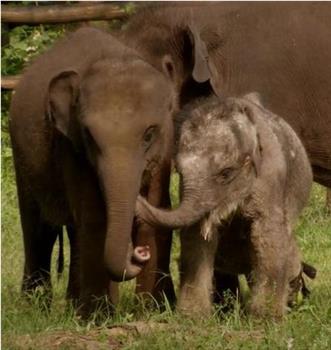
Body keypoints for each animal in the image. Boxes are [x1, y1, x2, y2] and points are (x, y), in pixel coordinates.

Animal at [9, 26, 209, 318]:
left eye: (149, 134)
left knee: (71, 231)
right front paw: (100, 317)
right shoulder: (72, 147)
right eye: (91, 137)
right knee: (38, 229)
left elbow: (155, 212)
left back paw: (71, 306)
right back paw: (34, 308)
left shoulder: (164, 147)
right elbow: (95, 217)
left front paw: (151, 310)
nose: (139, 253)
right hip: (21, 158)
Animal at [136, 94, 316, 318]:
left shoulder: (271, 178)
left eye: (226, 173)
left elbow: (266, 233)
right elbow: (197, 236)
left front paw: (265, 318)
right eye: (179, 170)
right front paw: (192, 316)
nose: (138, 197)